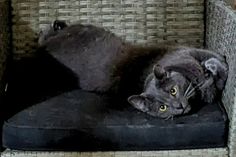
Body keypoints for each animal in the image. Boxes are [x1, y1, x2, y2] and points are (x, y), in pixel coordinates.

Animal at [38, 20, 229, 119]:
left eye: (173, 90)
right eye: (162, 107)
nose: (179, 106)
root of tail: (48, 47)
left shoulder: (184, 51)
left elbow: (211, 58)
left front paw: (216, 62)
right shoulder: (209, 89)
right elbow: (216, 81)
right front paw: (213, 69)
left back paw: (57, 25)